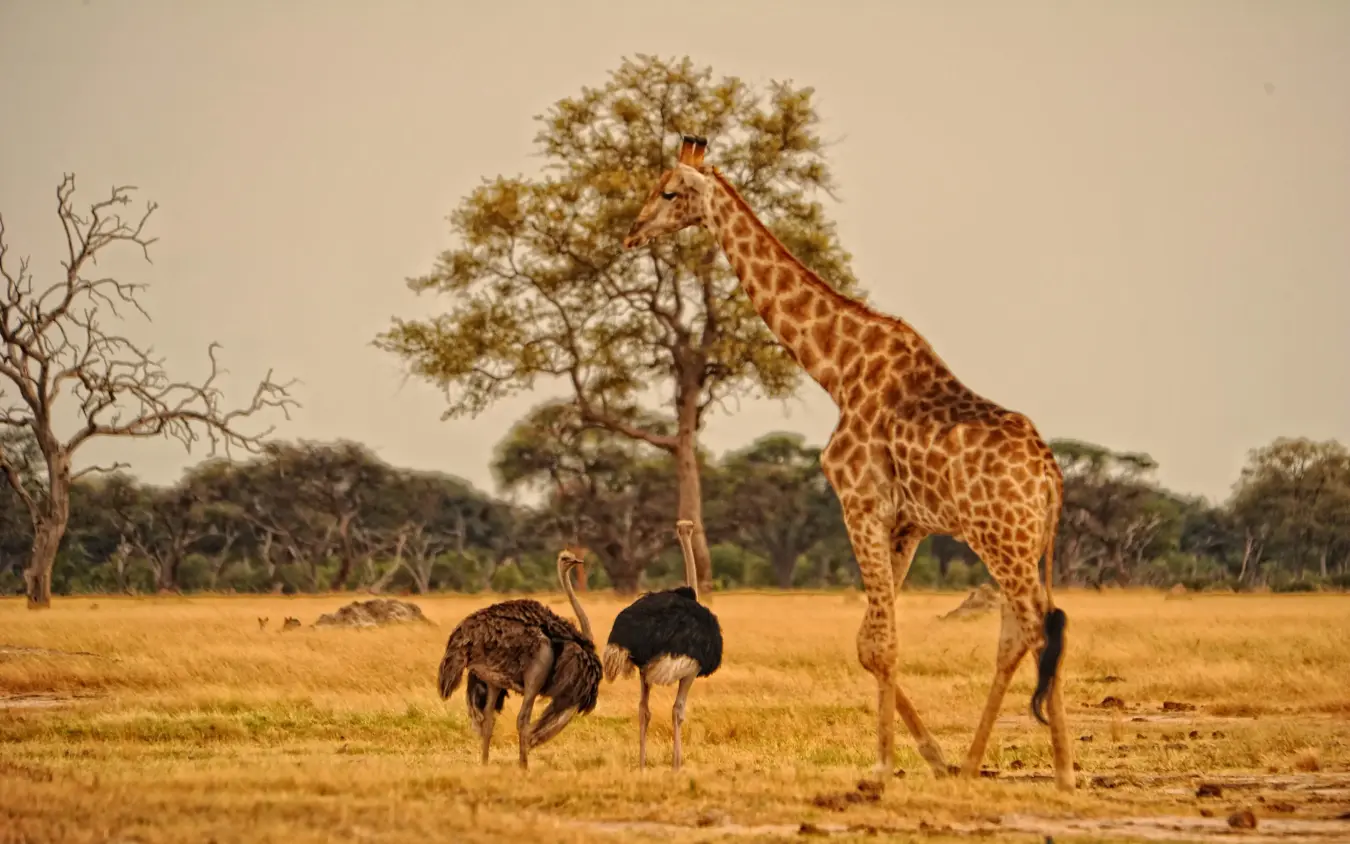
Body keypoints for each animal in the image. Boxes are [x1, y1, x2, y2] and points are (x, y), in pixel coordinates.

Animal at [621, 135, 1074, 791]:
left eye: (669, 191)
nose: (630, 233)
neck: (836, 368)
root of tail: (1051, 480)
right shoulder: (906, 523)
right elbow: (869, 640)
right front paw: (929, 757)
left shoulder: (859, 501)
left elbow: (878, 644)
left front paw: (883, 766)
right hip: (1017, 544)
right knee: (1022, 631)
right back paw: (976, 765)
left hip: (1003, 540)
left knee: (1038, 626)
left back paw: (1058, 771)